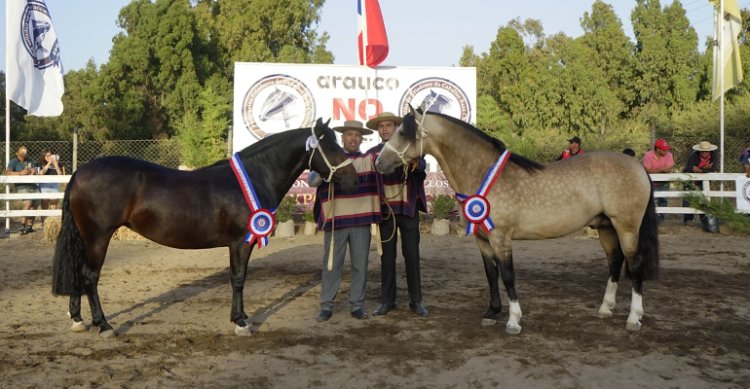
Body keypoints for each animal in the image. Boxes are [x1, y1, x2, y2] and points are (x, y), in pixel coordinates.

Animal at [52, 117, 358, 334]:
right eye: (331, 146)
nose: (352, 177)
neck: (254, 176)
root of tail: (79, 172)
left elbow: (239, 277)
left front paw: (241, 317)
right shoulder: (239, 242)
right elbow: (238, 278)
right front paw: (240, 323)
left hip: (87, 239)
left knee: (79, 274)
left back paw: (78, 320)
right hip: (98, 238)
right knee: (89, 276)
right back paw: (103, 325)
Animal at [376, 109, 656, 334]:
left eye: (403, 133)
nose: (379, 162)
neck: (483, 173)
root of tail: (636, 165)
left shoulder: (501, 238)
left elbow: (508, 275)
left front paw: (513, 320)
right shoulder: (482, 239)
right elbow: (491, 274)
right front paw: (492, 312)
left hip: (626, 227)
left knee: (634, 265)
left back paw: (633, 318)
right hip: (606, 227)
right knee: (615, 262)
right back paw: (605, 309)